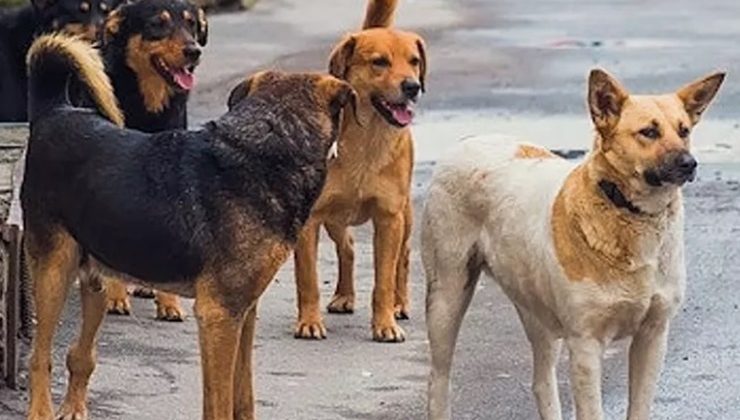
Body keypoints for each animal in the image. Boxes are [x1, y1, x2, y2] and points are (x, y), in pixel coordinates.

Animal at [22, 33, 356, 420]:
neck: (268, 149)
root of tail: (56, 111)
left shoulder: (244, 311)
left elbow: (243, 394)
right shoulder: (219, 315)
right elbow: (220, 402)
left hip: (97, 279)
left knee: (80, 354)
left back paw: (74, 407)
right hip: (53, 272)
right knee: (39, 357)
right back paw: (41, 410)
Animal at [292, 0, 424, 342]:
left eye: (414, 61)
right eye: (379, 62)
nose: (413, 86)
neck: (367, 140)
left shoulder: (389, 219)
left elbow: (384, 280)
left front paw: (385, 323)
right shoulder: (310, 220)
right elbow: (308, 280)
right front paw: (309, 322)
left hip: (404, 217)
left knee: (403, 258)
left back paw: (400, 304)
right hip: (335, 218)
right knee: (348, 248)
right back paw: (344, 296)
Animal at [422, 69, 724, 420]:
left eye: (684, 130)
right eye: (649, 132)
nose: (690, 164)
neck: (629, 212)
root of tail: (467, 140)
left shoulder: (653, 336)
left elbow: (639, 407)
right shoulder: (585, 346)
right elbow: (592, 411)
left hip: (535, 310)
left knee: (541, 382)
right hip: (447, 297)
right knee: (438, 379)